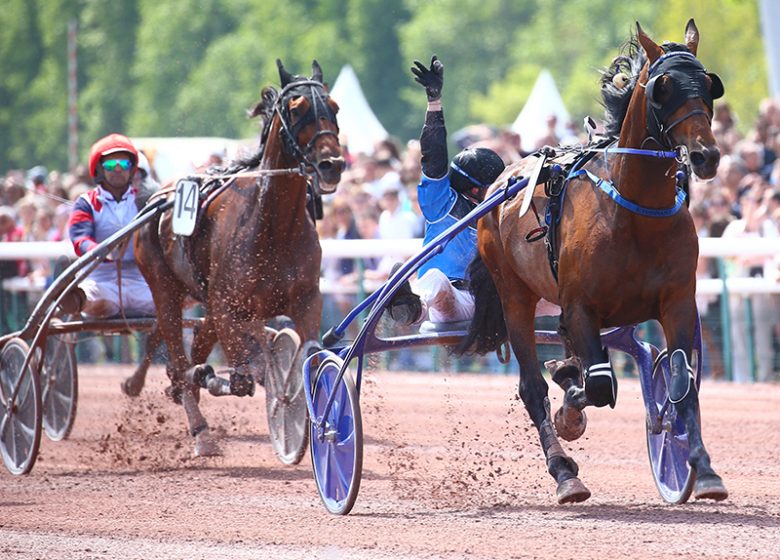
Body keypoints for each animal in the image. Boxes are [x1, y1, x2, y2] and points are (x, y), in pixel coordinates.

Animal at [133, 60, 344, 456]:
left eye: (334, 107)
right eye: (297, 109)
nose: (331, 164)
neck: (273, 226)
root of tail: (157, 195)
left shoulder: (307, 299)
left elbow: (308, 351)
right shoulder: (230, 306)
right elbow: (245, 376)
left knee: (196, 348)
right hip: (165, 290)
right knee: (178, 356)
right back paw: (200, 428)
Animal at [460, 20, 728, 504]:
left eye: (708, 86)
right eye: (663, 88)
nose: (706, 156)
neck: (636, 212)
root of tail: (502, 180)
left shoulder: (678, 300)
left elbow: (682, 381)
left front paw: (702, 468)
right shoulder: (582, 306)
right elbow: (601, 383)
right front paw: (570, 412)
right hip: (514, 294)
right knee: (532, 387)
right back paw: (564, 472)